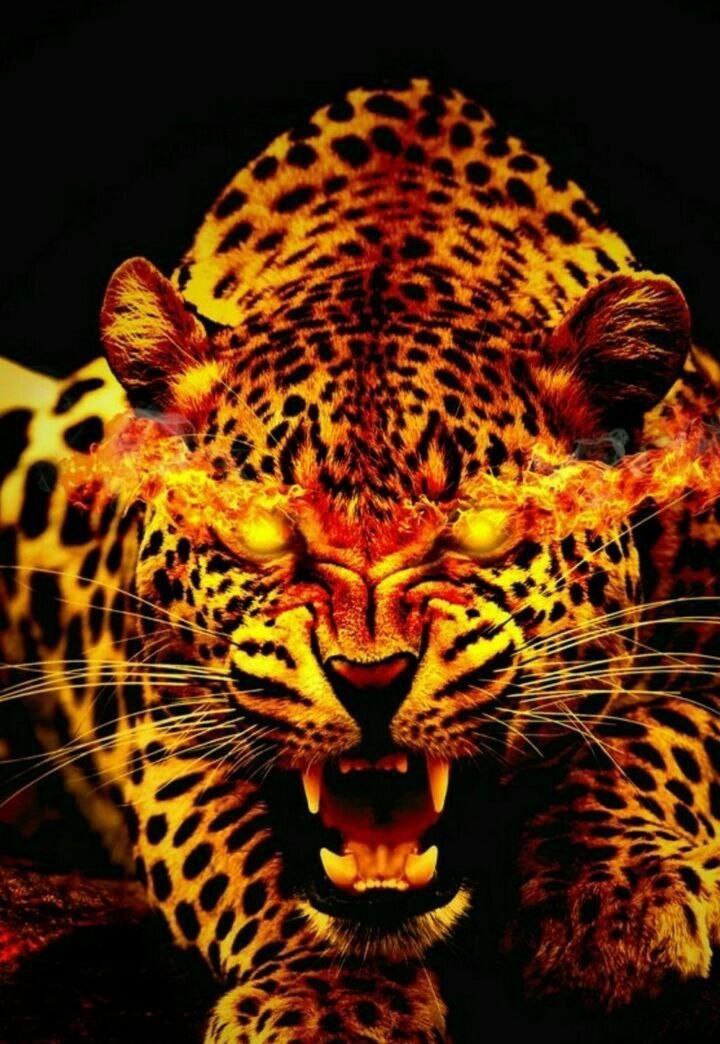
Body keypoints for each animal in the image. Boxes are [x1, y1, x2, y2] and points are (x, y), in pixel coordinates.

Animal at [1, 78, 720, 1042]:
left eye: (483, 526)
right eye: (259, 529)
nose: (370, 679)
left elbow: (660, 731)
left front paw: (615, 901)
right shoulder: (161, 715)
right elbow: (240, 855)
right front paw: (332, 1003)